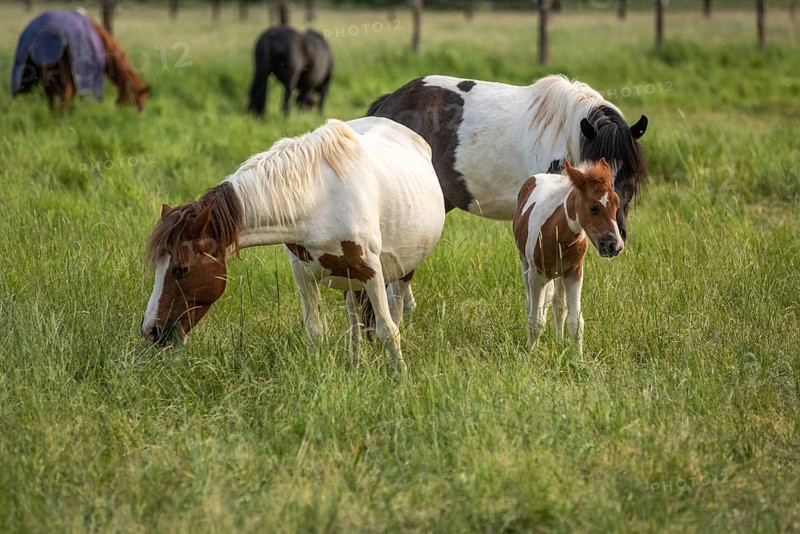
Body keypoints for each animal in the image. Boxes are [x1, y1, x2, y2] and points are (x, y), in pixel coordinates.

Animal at [141, 117, 444, 376]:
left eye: (181, 269)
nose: (150, 331)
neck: (319, 199)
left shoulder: (371, 271)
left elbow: (387, 330)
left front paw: (400, 378)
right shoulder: (303, 272)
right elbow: (315, 329)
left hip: (402, 271)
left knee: (393, 314)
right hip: (350, 280)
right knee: (355, 319)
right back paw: (356, 362)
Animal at [513, 158, 624, 354]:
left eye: (617, 204)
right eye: (593, 207)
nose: (614, 246)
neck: (556, 231)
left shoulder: (574, 273)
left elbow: (575, 322)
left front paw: (578, 358)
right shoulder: (536, 274)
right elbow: (536, 321)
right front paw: (530, 353)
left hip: (559, 275)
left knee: (557, 304)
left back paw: (558, 341)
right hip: (525, 264)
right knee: (531, 302)